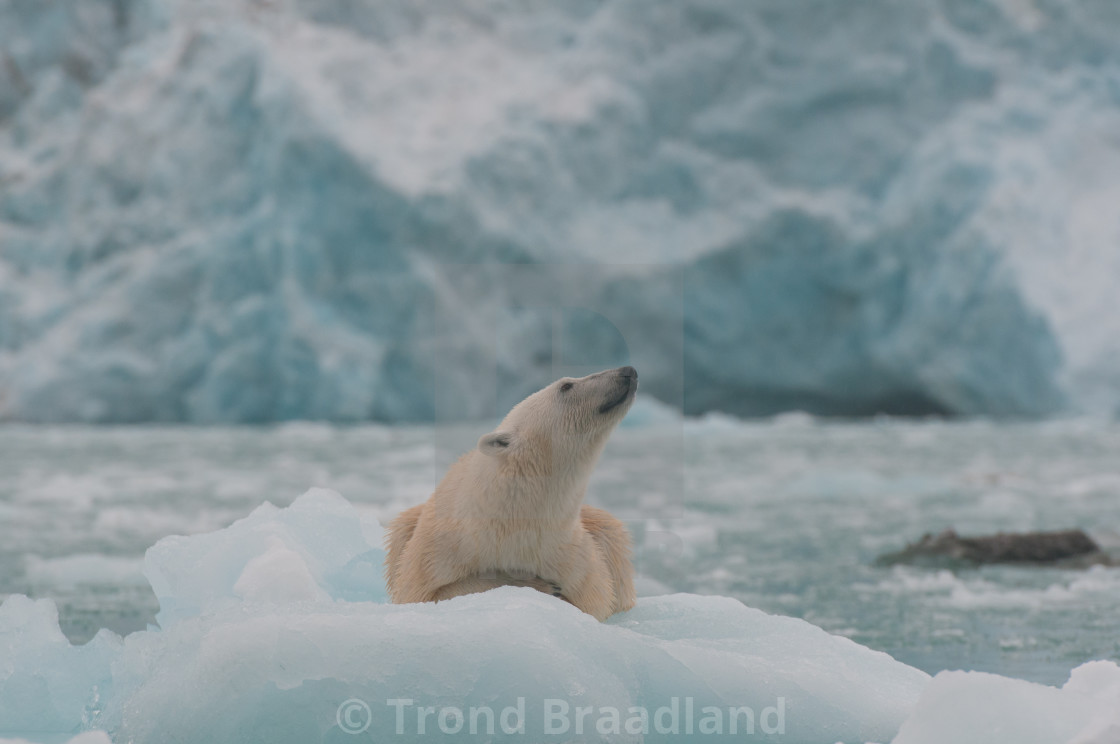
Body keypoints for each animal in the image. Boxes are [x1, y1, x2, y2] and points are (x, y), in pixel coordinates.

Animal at [387, 363, 640, 618]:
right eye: (566, 385)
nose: (627, 370)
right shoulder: (435, 554)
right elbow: (433, 593)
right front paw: (538, 585)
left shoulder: (573, 557)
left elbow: (595, 601)